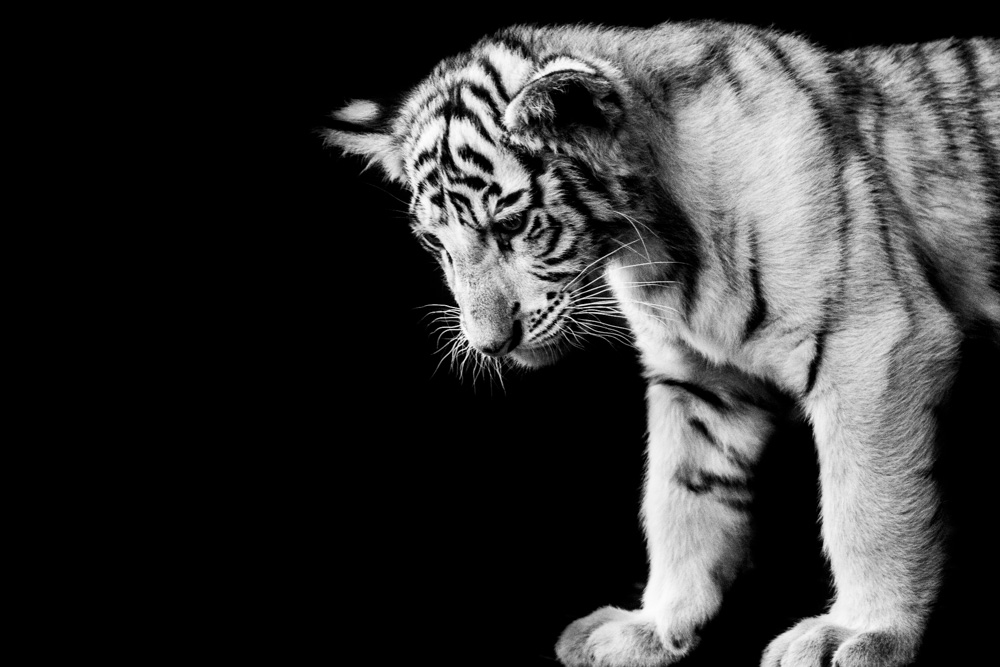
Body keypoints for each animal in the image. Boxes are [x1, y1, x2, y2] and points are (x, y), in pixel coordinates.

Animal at [324, 20, 1000, 667]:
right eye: (436, 243)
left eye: (511, 225)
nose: (491, 344)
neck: (658, 237)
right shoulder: (698, 377)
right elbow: (680, 499)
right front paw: (654, 627)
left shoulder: (875, 339)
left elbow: (867, 500)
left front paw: (862, 630)